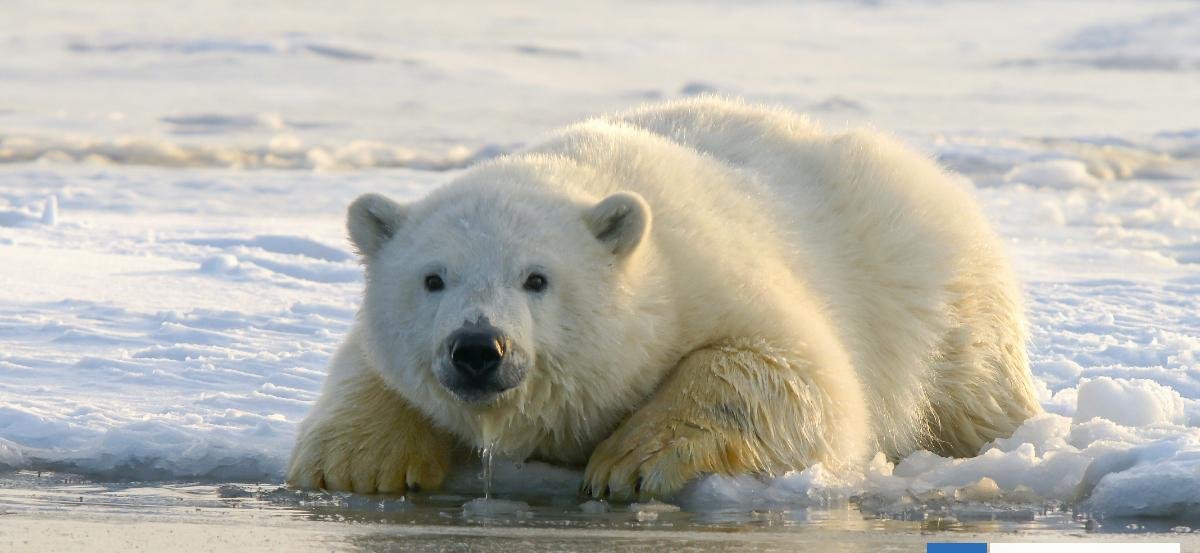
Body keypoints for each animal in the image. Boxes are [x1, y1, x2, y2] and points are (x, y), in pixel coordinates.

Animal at [286, 97, 1042, 499]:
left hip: (935, 292)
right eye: (433, 278)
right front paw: (358, 464)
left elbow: (794, 373)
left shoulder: (710, 275)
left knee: (973, 388)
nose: (478, 348)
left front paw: (630, 462)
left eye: (537, 277)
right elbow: (364, 365)